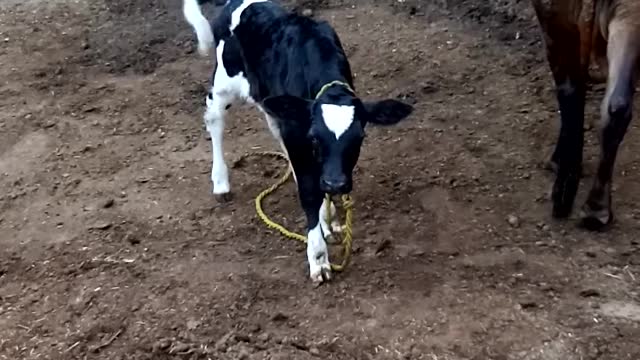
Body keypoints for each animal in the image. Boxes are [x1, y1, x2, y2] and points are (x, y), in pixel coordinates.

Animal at [184, 0, 416, 282]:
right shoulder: (297, 133)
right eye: (315, 137)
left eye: (359, 138)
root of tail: (235, 4)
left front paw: (329, 219)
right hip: (224, 82)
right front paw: (318, 258)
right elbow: (308, 192)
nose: (335, 183)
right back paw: (220, 183)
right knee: (214, 118)